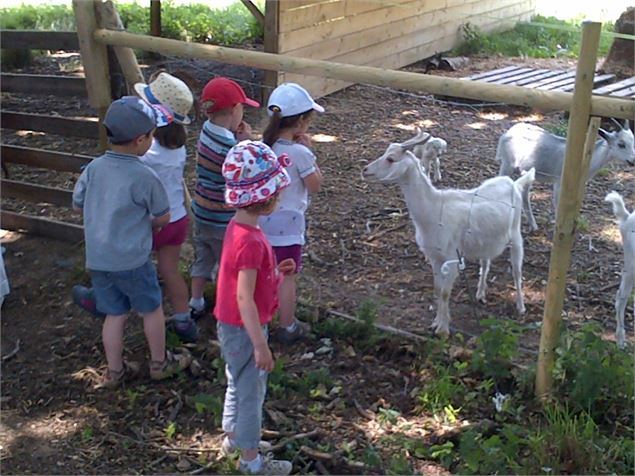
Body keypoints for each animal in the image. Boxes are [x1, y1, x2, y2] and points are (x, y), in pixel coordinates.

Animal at [362, 139, 536, 336]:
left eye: (391, 159)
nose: (365, 170)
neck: (434, 210)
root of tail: (514, 184)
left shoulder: (452, 257)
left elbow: (445, 292)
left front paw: (443, 330)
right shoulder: (435, 257)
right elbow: (438, 289)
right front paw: (436, 323)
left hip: (515, 234)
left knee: (517, 271)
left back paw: (521, 306)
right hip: (486, 240)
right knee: (485, 263)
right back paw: (480, 293)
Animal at [496, 119, 635, 231]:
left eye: (633, 142)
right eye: (621, 144)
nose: (633, 161)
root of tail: (507, 133)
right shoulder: (559, 182)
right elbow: (558, 206)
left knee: (524, 193)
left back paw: (533, 226)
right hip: (507, 163)